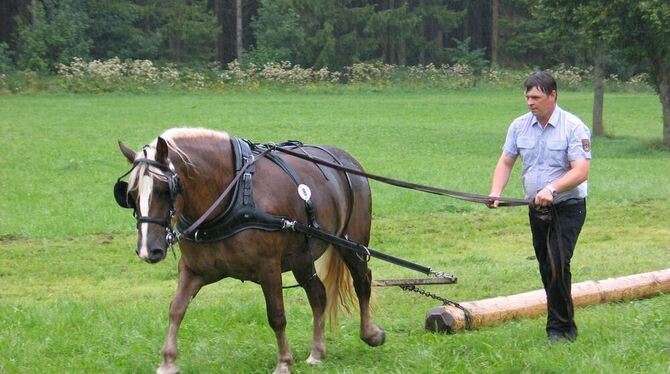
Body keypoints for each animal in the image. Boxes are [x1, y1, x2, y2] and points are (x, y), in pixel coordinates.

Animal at [115, 129, 386, 374]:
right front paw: (168, 361)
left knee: (362, 282)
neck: (231, 197)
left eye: (164, 190)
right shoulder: (193, 270)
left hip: (351, 243)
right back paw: (317, 352)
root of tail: (346, 159)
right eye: (131, 195)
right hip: (302, 258)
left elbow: (276, 315)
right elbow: (176, 309)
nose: (148, 250)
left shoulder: (269, 268)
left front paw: (284, 362)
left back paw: (370, 333)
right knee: (318, 294)